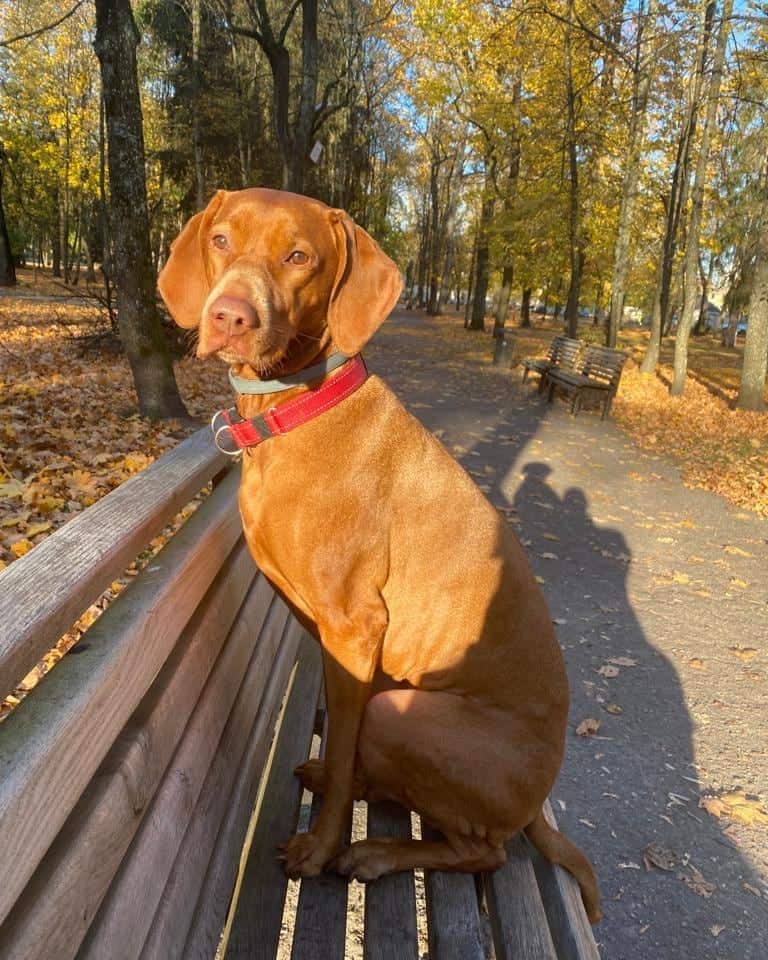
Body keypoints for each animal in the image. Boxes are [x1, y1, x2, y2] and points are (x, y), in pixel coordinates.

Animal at [158, 189, 600, 924]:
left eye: (299, 255)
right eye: (220, 240)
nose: (229, 315)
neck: (298, 409)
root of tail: (538, 804)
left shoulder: (353, 629)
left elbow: (342, 753)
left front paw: (320, 845)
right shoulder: (334, 646)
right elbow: (339, 742)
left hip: (405, 717)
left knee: (485, 852)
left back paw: (377, 853)